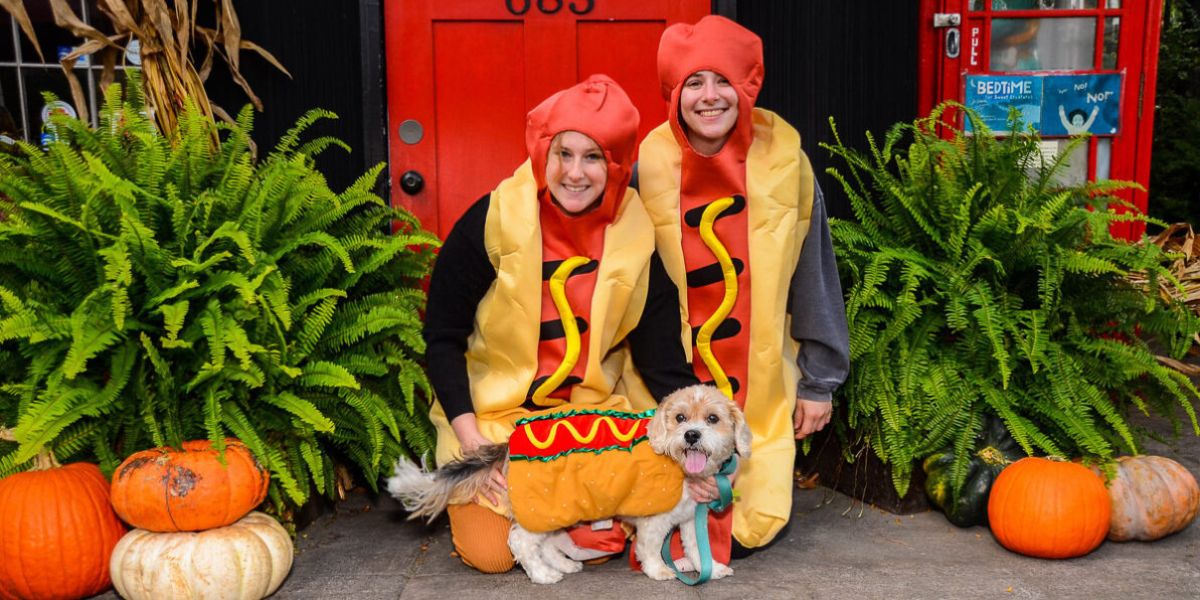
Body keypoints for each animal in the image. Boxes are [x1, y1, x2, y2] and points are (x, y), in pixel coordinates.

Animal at [386, 384, 748, 585]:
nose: (692, 435)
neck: (676, 464)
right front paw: (660, 572)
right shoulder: (653, 522)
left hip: (556, 509)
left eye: (712, 419)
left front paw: (711, 569)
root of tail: (509, 444)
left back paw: (562, 564)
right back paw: (542, 575)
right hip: (542, 507)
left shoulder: (689, 519)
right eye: (680, 418)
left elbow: (697, 547)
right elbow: (649, 549)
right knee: (520, 542)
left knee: (546, 543)